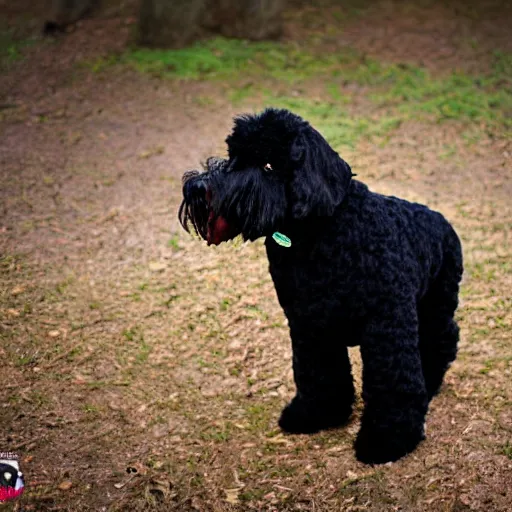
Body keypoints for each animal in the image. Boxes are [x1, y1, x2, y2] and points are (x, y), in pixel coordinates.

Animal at [180, 108, 464, 464]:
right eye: (234, 156)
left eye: (268, 165)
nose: (197, 187)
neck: (318, 235)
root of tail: (444, 223)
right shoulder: (310, 325)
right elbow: (318, 373)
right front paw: (316, 414)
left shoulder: (386, 328)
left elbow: (392, 383)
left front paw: (388, 438)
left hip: (434, 307)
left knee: (443, 339)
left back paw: (431, 381)